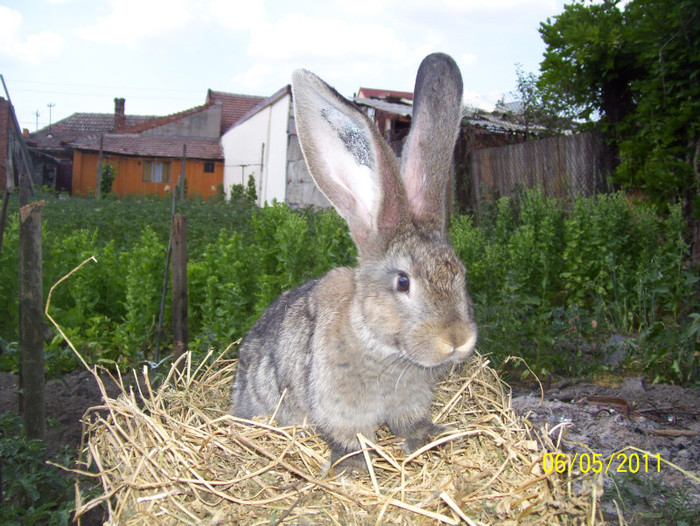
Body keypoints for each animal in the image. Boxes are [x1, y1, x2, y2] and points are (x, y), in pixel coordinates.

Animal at [232, 53, 478, 472]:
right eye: (403, 282)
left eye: (459, 272)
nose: (457, 340)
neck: (381, 348)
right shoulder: (338, 407)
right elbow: (348, 437)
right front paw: (353, 466)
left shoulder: (409, 403)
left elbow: (411, 423)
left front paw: (428, 439)